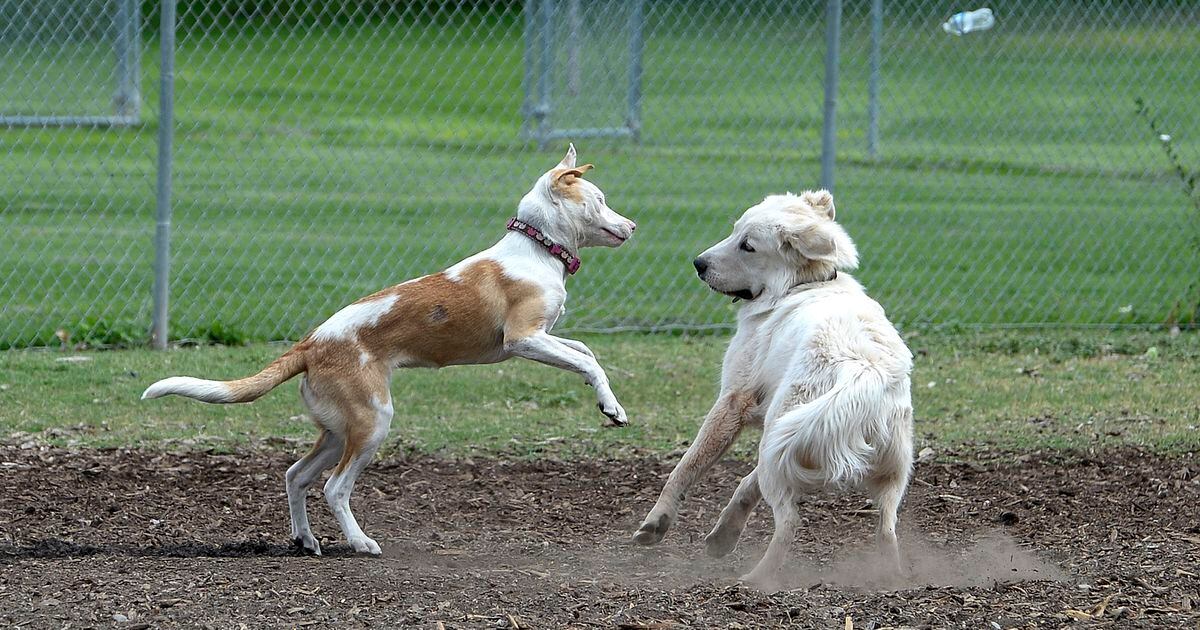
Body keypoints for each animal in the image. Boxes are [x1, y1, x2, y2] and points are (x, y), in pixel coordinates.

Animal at [142, 143, 638, 554]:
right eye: (599, 199)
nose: (632, 226)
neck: (536, 250)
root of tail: (310, 344)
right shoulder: (523, 339)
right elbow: (588, 364)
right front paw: (612, 408)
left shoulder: (544, 338)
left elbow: (585, 352)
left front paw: (604, 401)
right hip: (372, 422)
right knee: (334, 488)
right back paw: (361, 543)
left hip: (338, 429)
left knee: (296, 476)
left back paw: (306, 540)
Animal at [633, 189, 912, 583]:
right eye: (734, 230)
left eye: (747, 246)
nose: (698, 264)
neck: (805, 284)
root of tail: (864, 371)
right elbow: (745, 484)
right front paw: (723, 536)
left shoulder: (732, 402)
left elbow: (686, 466)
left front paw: (656, 522)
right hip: (880, 472)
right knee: (886, 529)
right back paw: (891, 576)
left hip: (784, 439)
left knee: (790, 524)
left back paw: (755, 580)